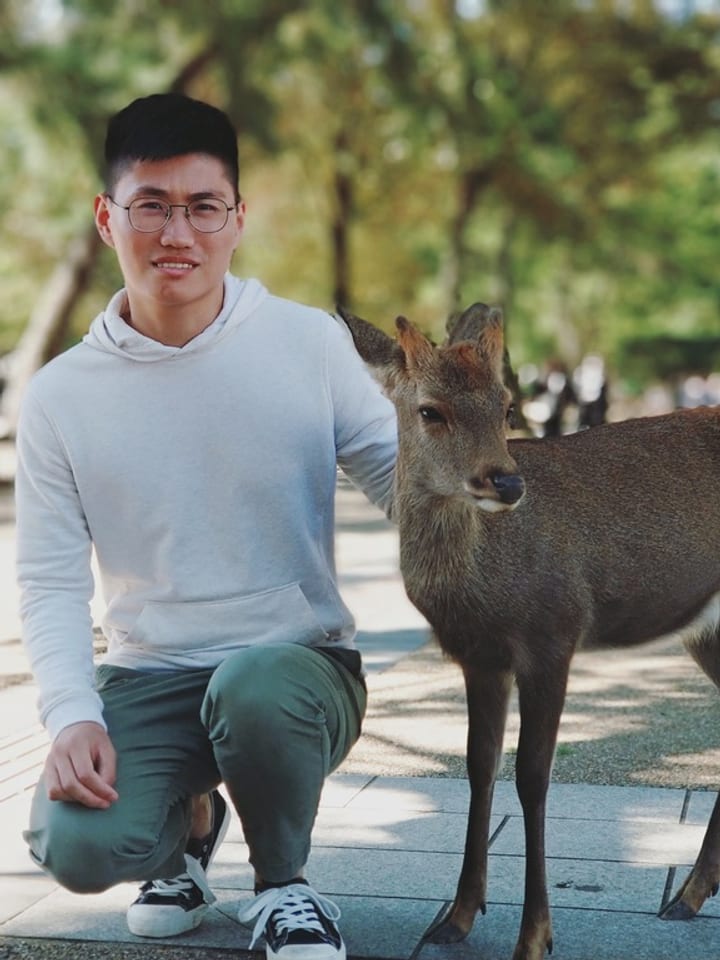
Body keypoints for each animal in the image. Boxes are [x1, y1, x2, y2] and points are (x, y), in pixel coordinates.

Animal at [339, 302, 720, 960]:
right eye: (430, 409)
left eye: (506, 406)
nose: (507, 482)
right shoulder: (480, 657)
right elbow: (478, 765)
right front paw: (456, 918)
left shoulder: (554, 632)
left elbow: (534, 776)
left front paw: (534, 935)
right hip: (707, 631)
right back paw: (687, 897)